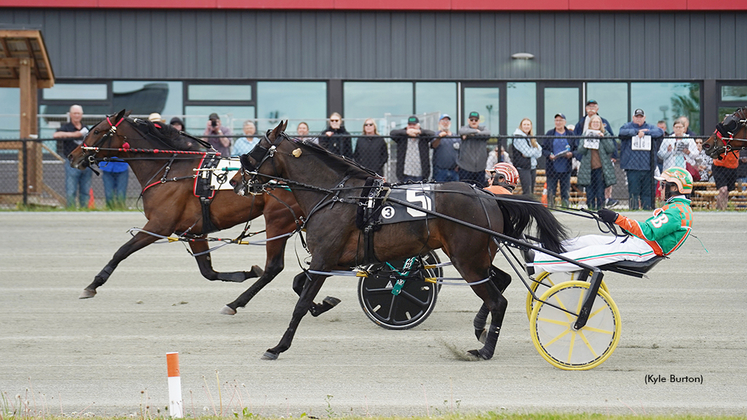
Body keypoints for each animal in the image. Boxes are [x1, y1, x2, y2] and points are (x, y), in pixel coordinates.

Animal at [68, 110, 338, 316]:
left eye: (97, 131)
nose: (73, 156)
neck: (170, 170)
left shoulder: (159, 226)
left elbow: (121, 251)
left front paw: (93, 285)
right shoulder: (195, 232)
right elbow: (208, 271)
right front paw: (245, 273)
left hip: (278, 220)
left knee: (274, 267)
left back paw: (236, 303)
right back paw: (315, 303)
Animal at [234, 121, 568, 360]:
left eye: (258, 148)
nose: (237, 180)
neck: (337, 196)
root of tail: (488, 197)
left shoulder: (323, 259)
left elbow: (300, 304)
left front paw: (278, 347)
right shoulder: (332, 261)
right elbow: (298, 286)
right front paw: (323, 304)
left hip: (467, 260)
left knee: (497, 299)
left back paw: (485, 350)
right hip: (478, 258)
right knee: (501, 281)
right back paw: (480, 328)